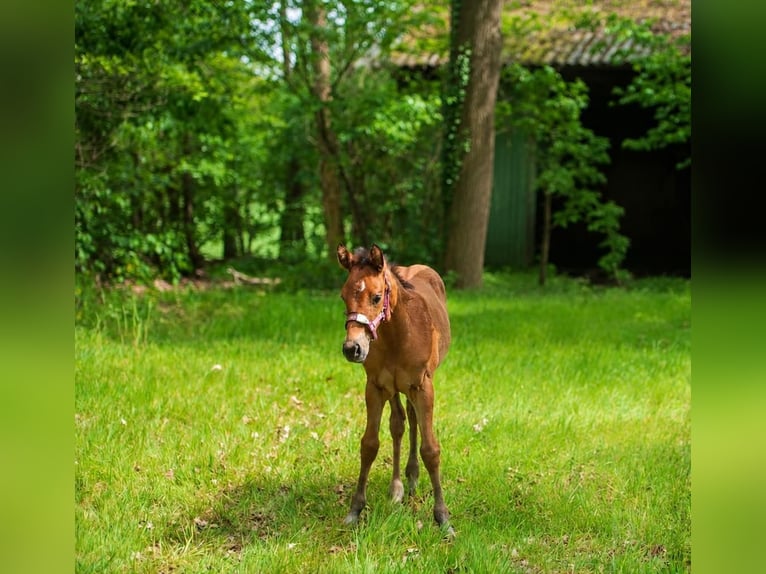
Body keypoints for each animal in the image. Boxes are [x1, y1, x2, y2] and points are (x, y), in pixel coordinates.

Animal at [336, 243, 453, 535]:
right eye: (343, 296)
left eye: (377, 297)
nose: (352, 348)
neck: (399, 335)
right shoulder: (376, 387)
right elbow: (369, 444)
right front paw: (355, 509)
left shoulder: (423, 386)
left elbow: (431, 450)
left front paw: (443, 517)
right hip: (394, 388)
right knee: (399, 423)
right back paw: (398, 487)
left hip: (411, 387)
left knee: (411, 420)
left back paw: (411, 478)